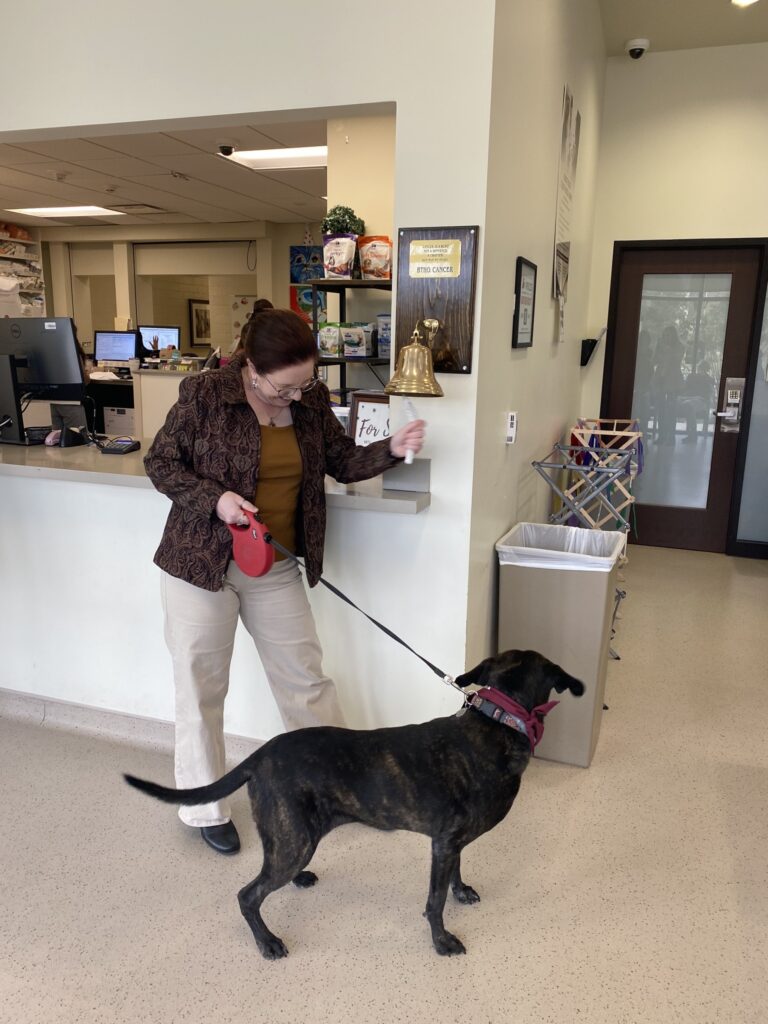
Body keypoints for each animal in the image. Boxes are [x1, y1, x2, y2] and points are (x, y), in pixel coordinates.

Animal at [124, 647, 581, 958]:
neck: (497, 723)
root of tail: (260, 755)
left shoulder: (452, 844)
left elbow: (455, 873)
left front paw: (462, 890)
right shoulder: (443, 843)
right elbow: (433, 902)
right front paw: (441, 940)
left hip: (294, 837)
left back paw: (298, 882)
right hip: (294, 839)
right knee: (248, 895)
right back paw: (268, 942)